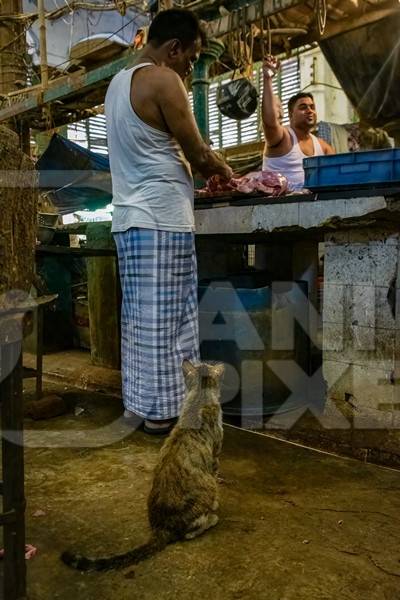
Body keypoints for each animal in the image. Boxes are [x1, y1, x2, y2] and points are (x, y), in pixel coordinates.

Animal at [62, 360, 225, 572]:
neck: (199, 398)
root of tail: (162, 527)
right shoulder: (215, 457)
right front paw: (216, 506)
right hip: (206, 489)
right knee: (189, 532)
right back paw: (211, 519)